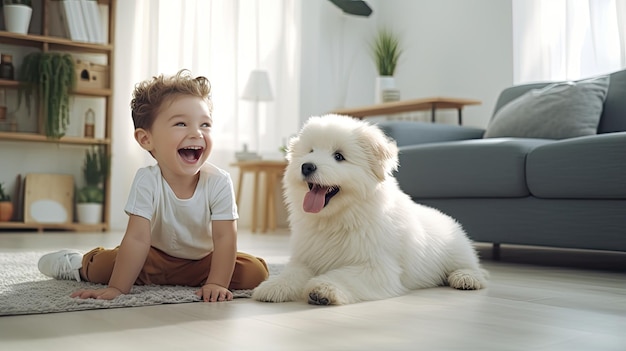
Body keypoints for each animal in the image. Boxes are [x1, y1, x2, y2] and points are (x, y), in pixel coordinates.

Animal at [251, 115, 486, 306]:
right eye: (310, 151)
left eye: (339, 156)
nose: (307, 166)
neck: (338, 217)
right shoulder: (306, 257)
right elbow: (293, 273)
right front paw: (273, 286)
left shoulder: (377, 267)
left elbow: (343, 275)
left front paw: (323, 289)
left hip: (457, 249)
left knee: (475, 267)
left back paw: (466, 278)